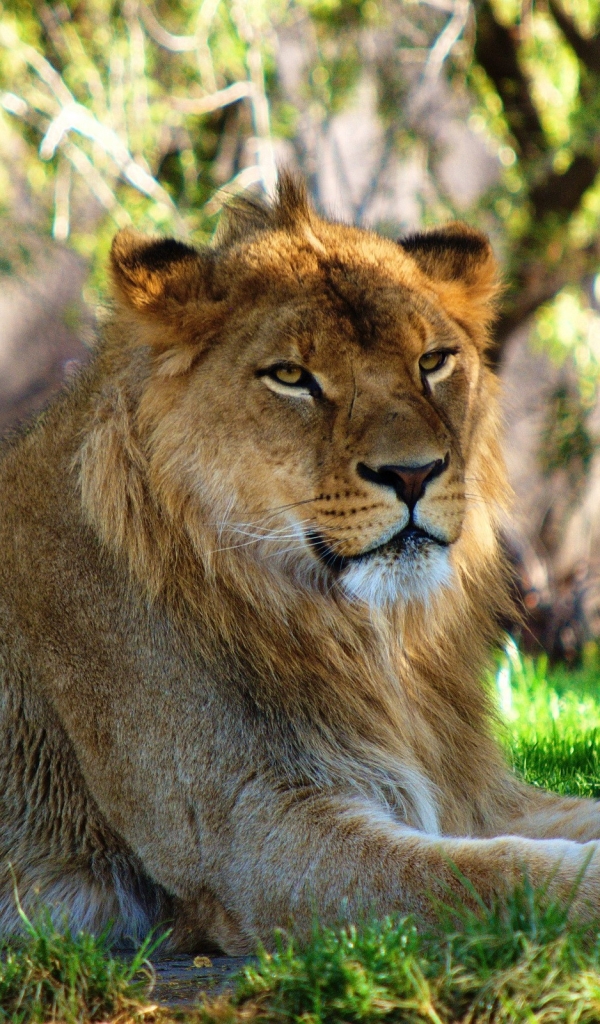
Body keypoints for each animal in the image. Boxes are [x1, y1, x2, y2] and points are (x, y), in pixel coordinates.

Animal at [1, 176, 597, 950]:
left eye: (433, 361)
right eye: (291, 376)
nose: (413, 474)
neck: (366, 640)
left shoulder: (471, 791)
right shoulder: (248, 836)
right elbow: (483, 877)